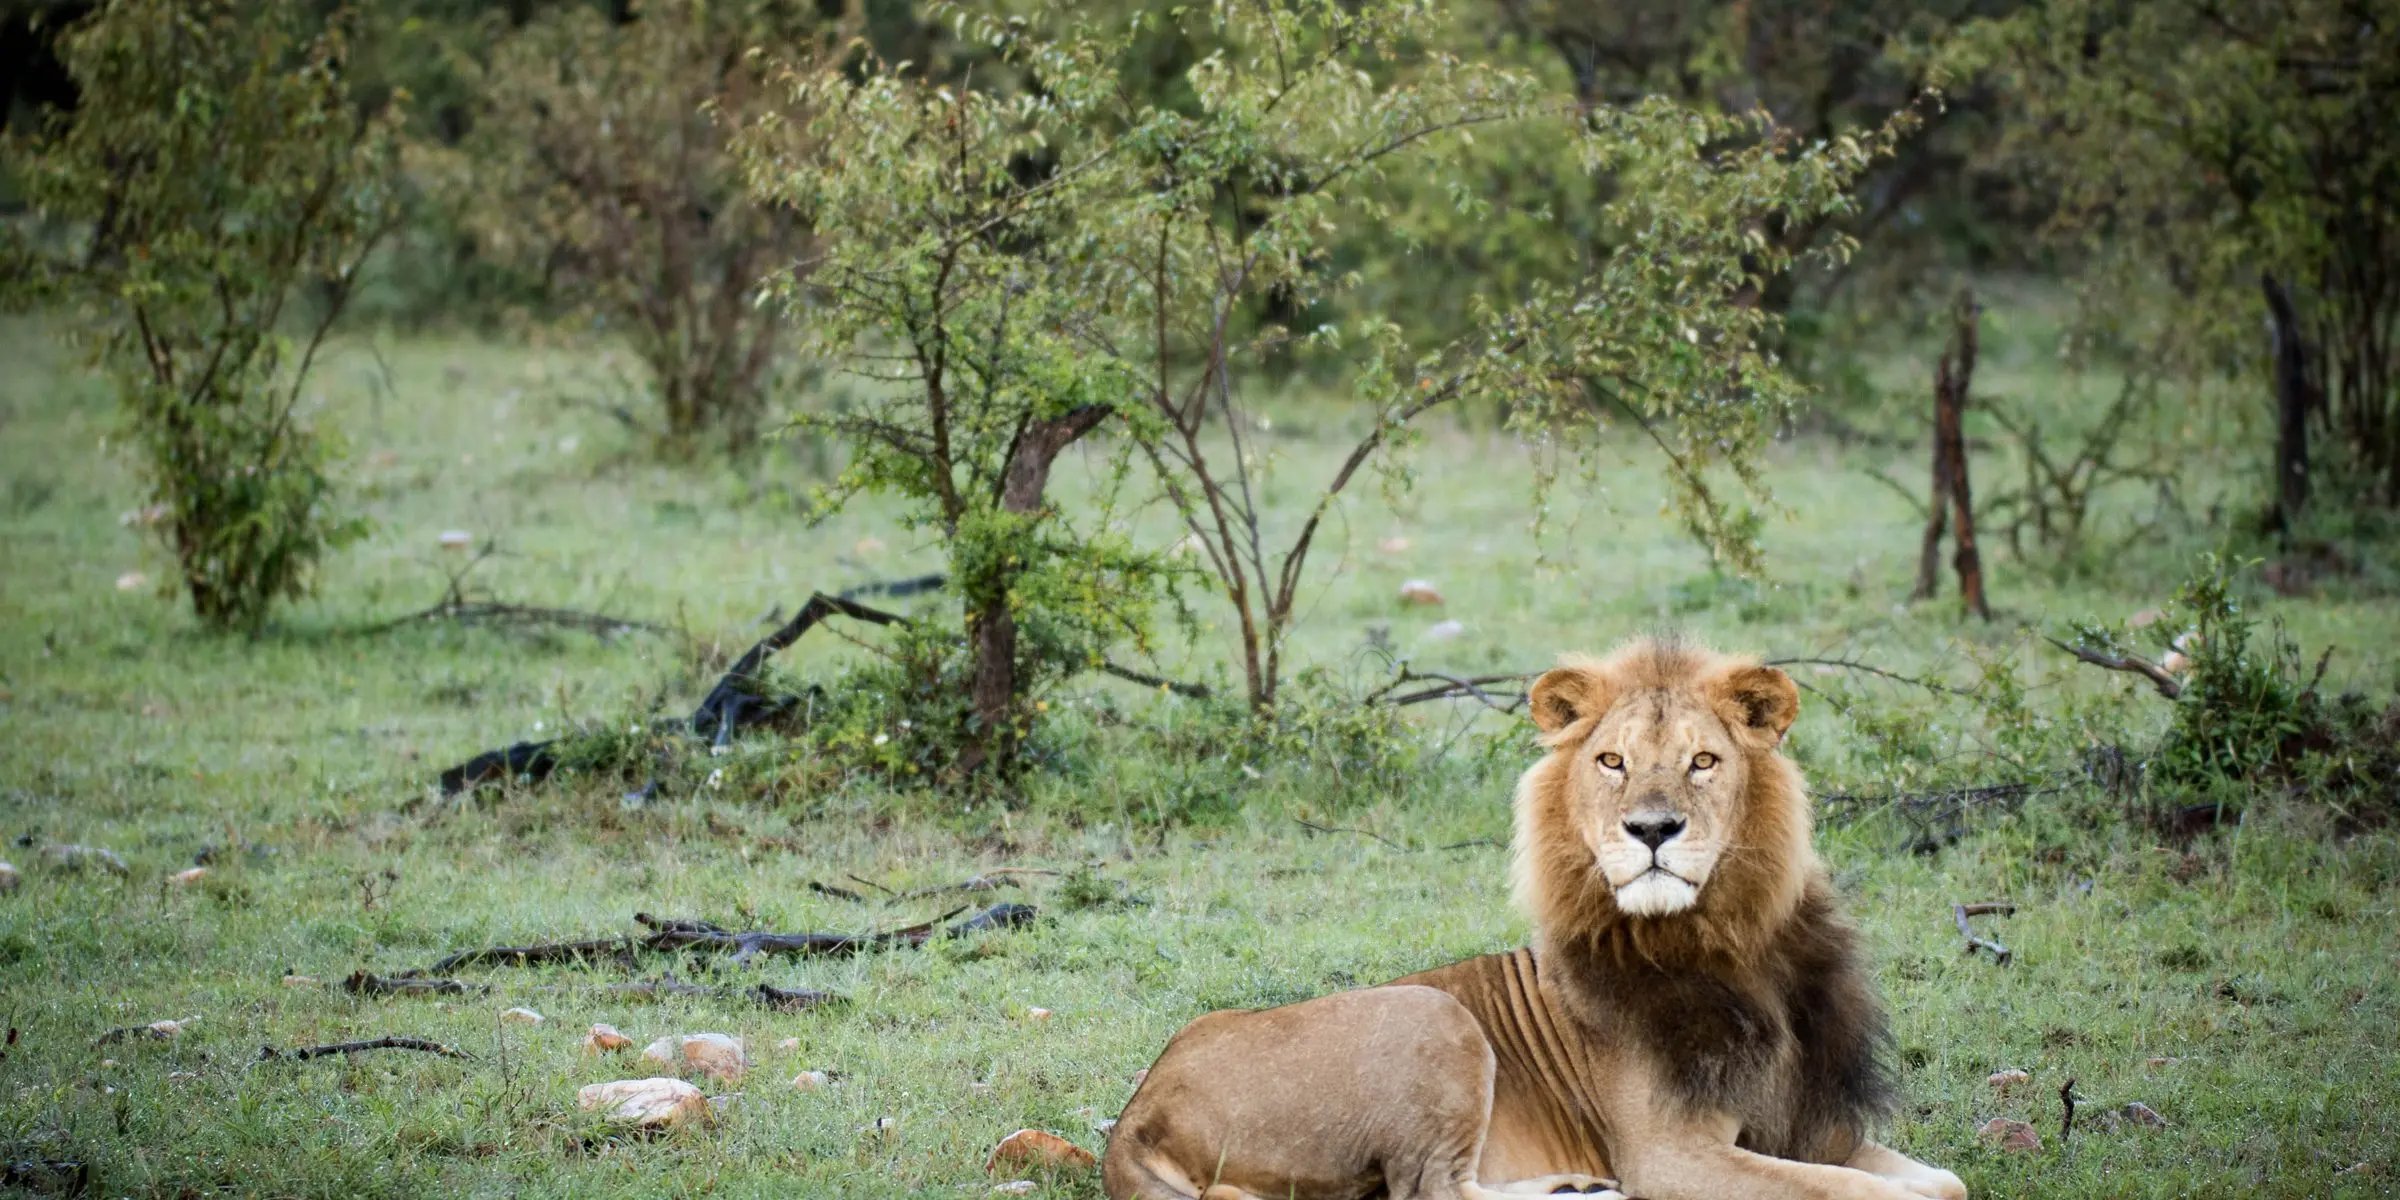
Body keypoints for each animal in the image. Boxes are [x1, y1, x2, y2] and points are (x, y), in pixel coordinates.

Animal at [1103, 638, 1966, 1200]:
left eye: (1703, 762)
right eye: (1612, 762)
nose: (1652, 830)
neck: (1730, 939)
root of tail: (1137, 1113)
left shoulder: (1813, 1131)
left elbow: (1944, 1182)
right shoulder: (1669, 1159)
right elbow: (1870, 1194)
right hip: (1434, 1014)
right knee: (1431, 1190)